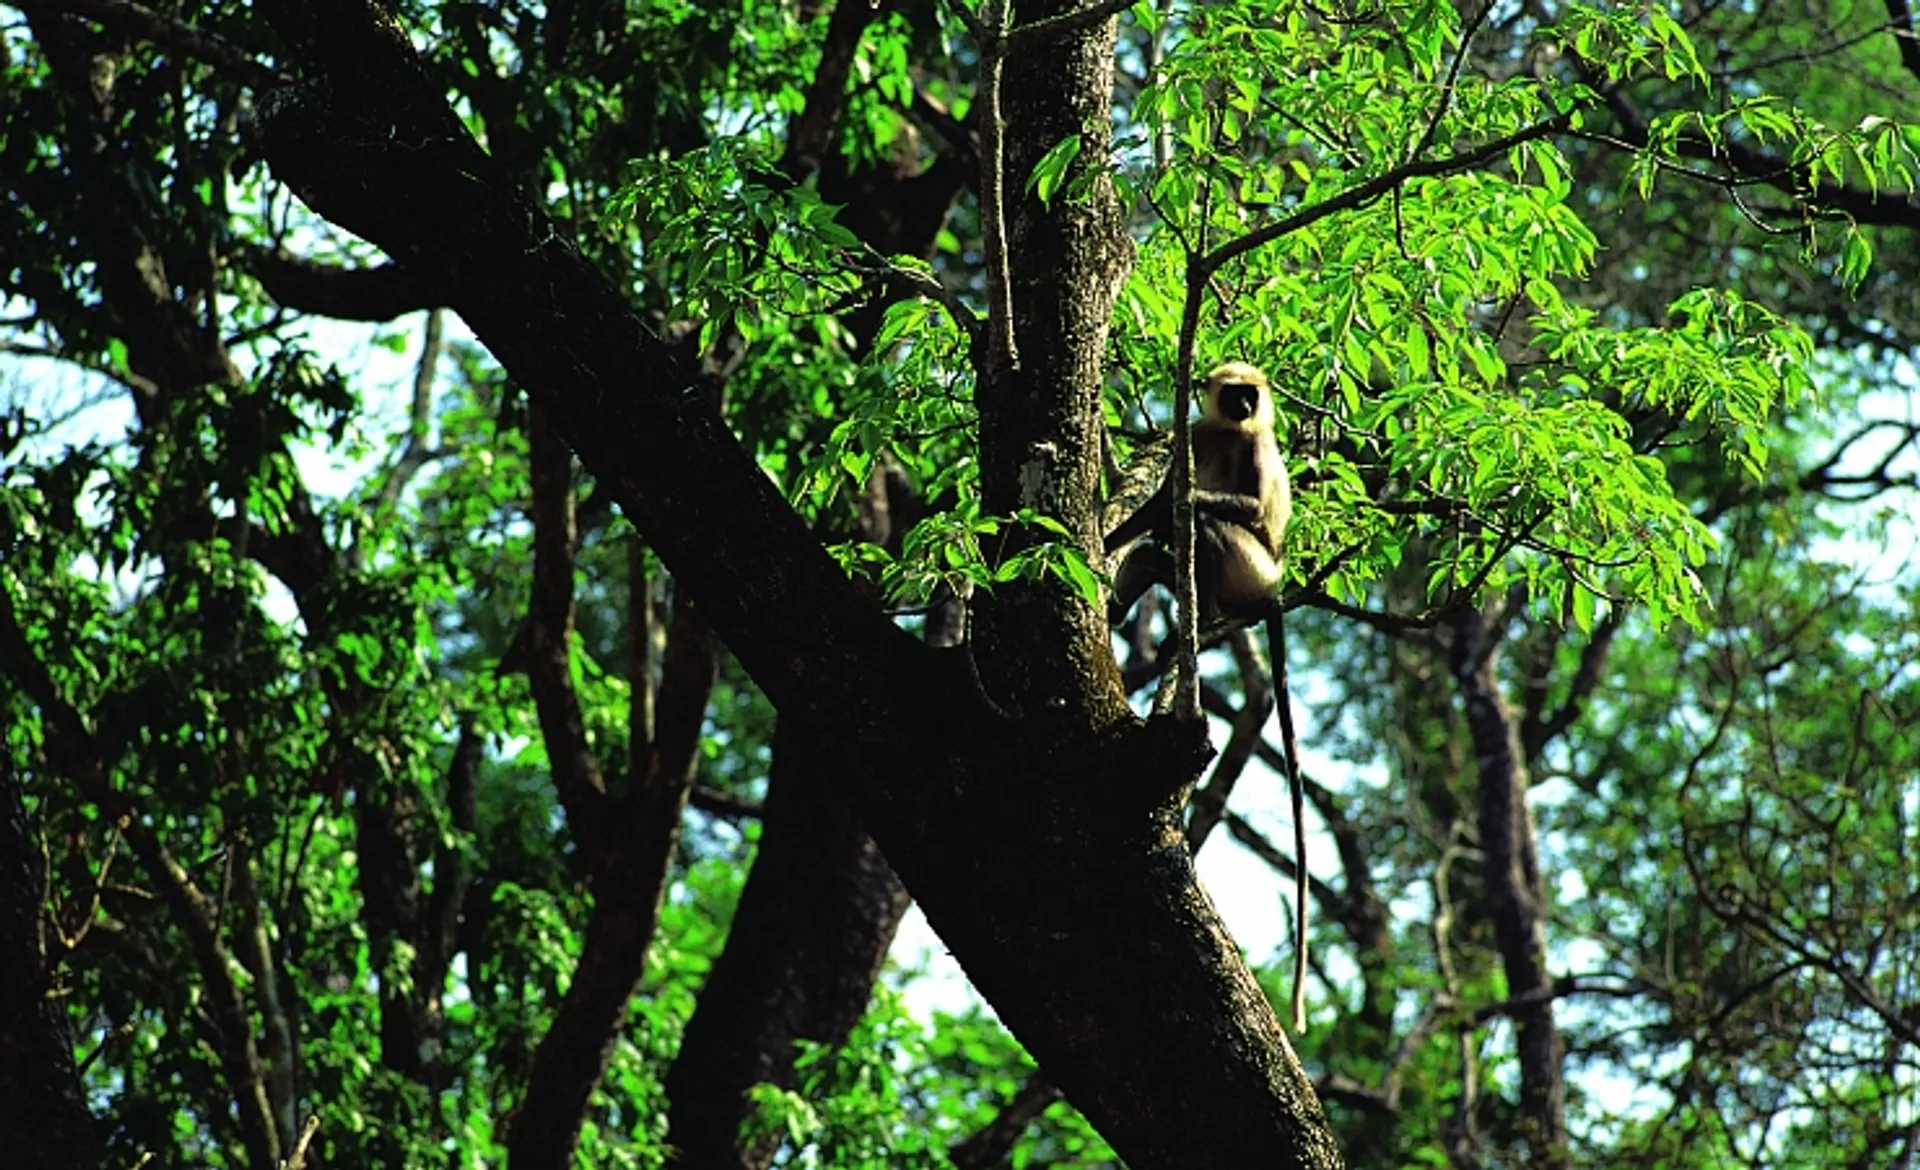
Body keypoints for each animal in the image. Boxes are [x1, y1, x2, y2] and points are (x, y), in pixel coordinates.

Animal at [1104, 360, 1312, 1034]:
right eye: (1233, 394)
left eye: (1252, 396)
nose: (1245, 406)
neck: (1229, 431)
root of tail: (1274, 587)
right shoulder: (1197, 432)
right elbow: (1153, 508)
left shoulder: (1257, 443)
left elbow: (1239, 504)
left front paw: (1189, 501)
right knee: (1152, 552)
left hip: (1254, 567)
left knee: (1212, 526)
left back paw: (1206, 610)